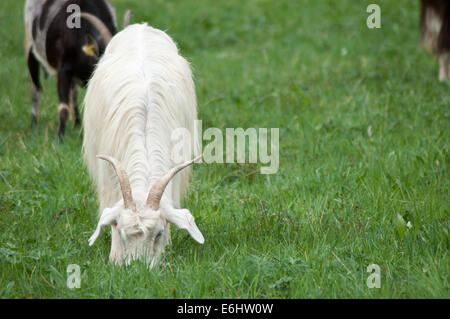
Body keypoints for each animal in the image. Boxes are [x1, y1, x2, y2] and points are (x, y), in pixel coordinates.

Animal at [24, 0, 129, 136]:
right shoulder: (63, 69)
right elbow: (63, 106)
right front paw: (59, 136)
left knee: (73, 92)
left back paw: (77, 123)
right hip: (30, 46)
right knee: (35, 87)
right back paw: (33, 125)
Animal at [82, 23, 204, 268]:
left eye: (158, 234)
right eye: (121, 232)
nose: (138, 269)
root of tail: (141, 26)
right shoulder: (108, 174)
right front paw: (115, 257)